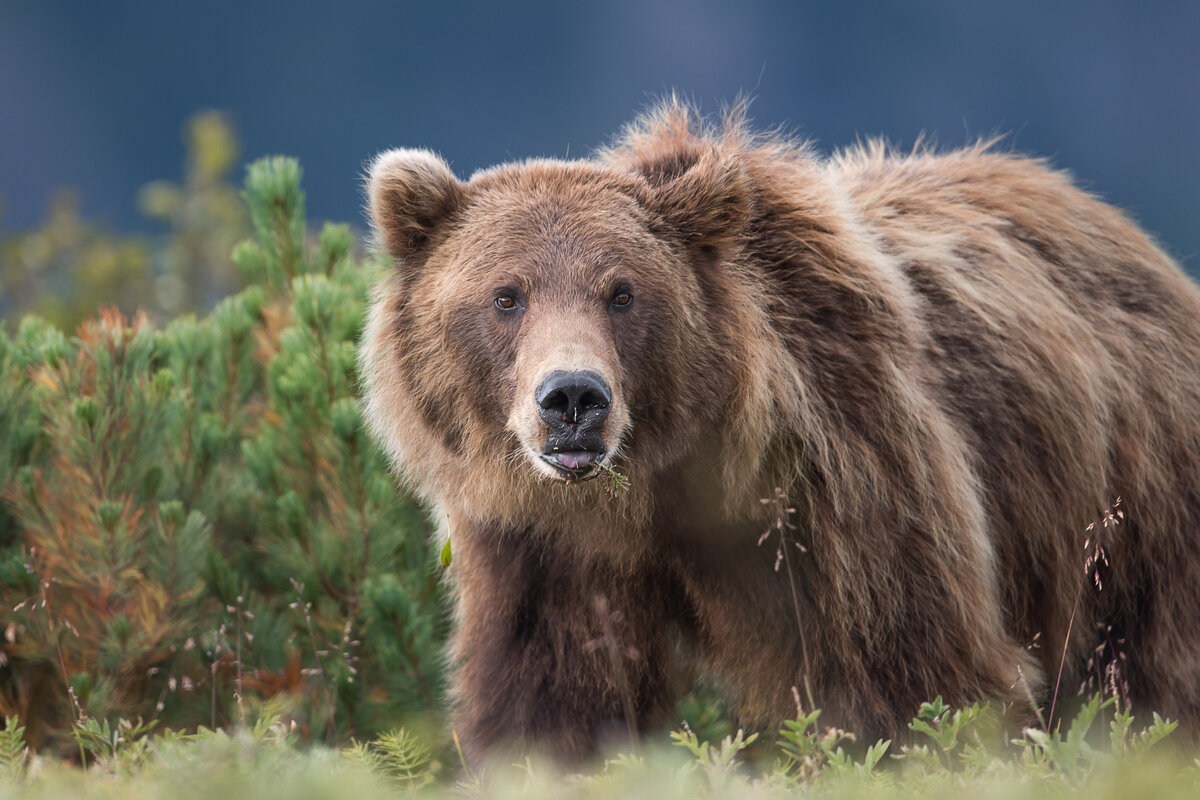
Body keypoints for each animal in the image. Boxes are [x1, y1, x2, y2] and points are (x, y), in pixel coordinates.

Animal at [355, 103, 1200, 767]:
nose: (572, 398)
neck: (666, 484)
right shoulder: (542, 548)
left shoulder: (850, 484)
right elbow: (549, 698)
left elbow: (921, 676)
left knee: (1153, 664)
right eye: (507, 295)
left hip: (1135, 497)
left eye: (623, 292)